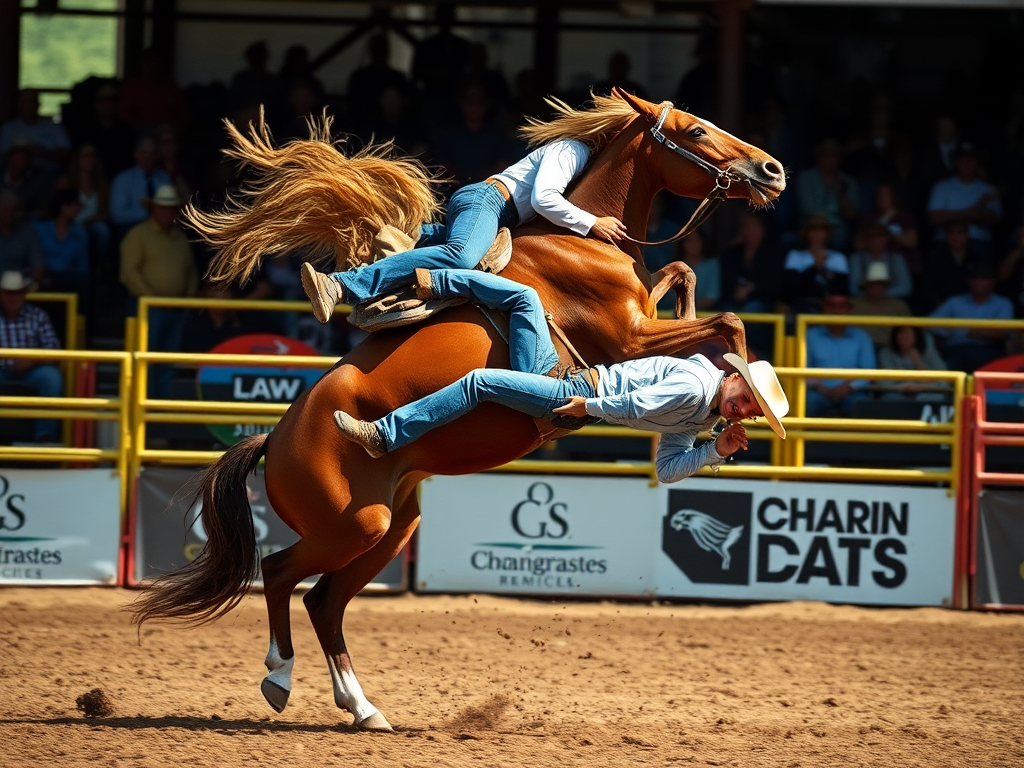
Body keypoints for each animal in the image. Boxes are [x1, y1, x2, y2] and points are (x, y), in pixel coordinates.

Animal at [131, 89, 785, 731]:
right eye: (696, 130)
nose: (772, 170)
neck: (581, 242)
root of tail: (272, 439)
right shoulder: (629, 340)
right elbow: (728, 321)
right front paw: (744, 392)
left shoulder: (642, 321)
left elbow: (686, 275)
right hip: (352, 527)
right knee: (278, 573)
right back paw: (280, 678)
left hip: (391, 526)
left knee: (323, 599)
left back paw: (363, 708)